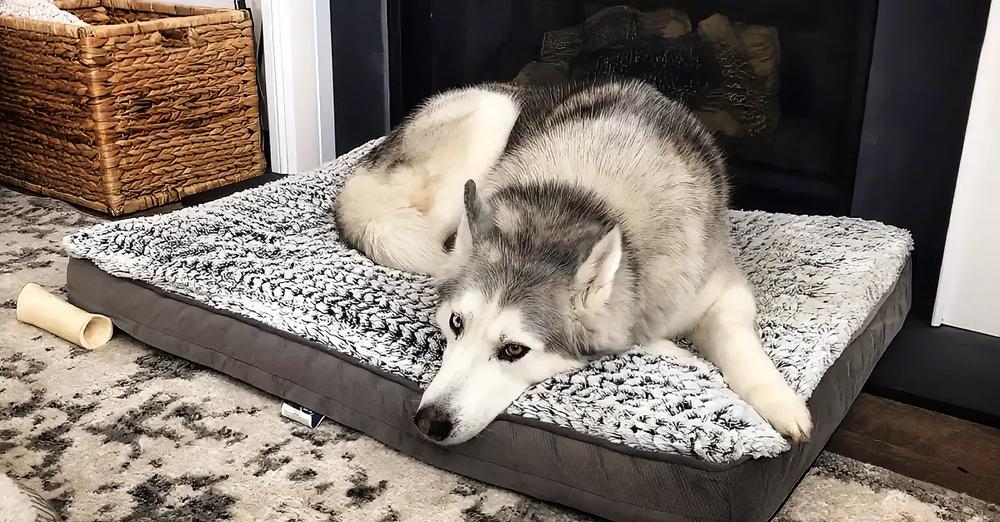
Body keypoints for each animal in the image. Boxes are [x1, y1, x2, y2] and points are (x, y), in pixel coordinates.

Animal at [336, 80, 812, 442]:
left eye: (513, 349)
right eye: (457, 324)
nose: (429, 422)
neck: (578, 201)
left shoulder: (724, 289)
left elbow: (736, 339)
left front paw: (780, 402)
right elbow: (635, 337)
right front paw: (676, 353)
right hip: (492, 116)